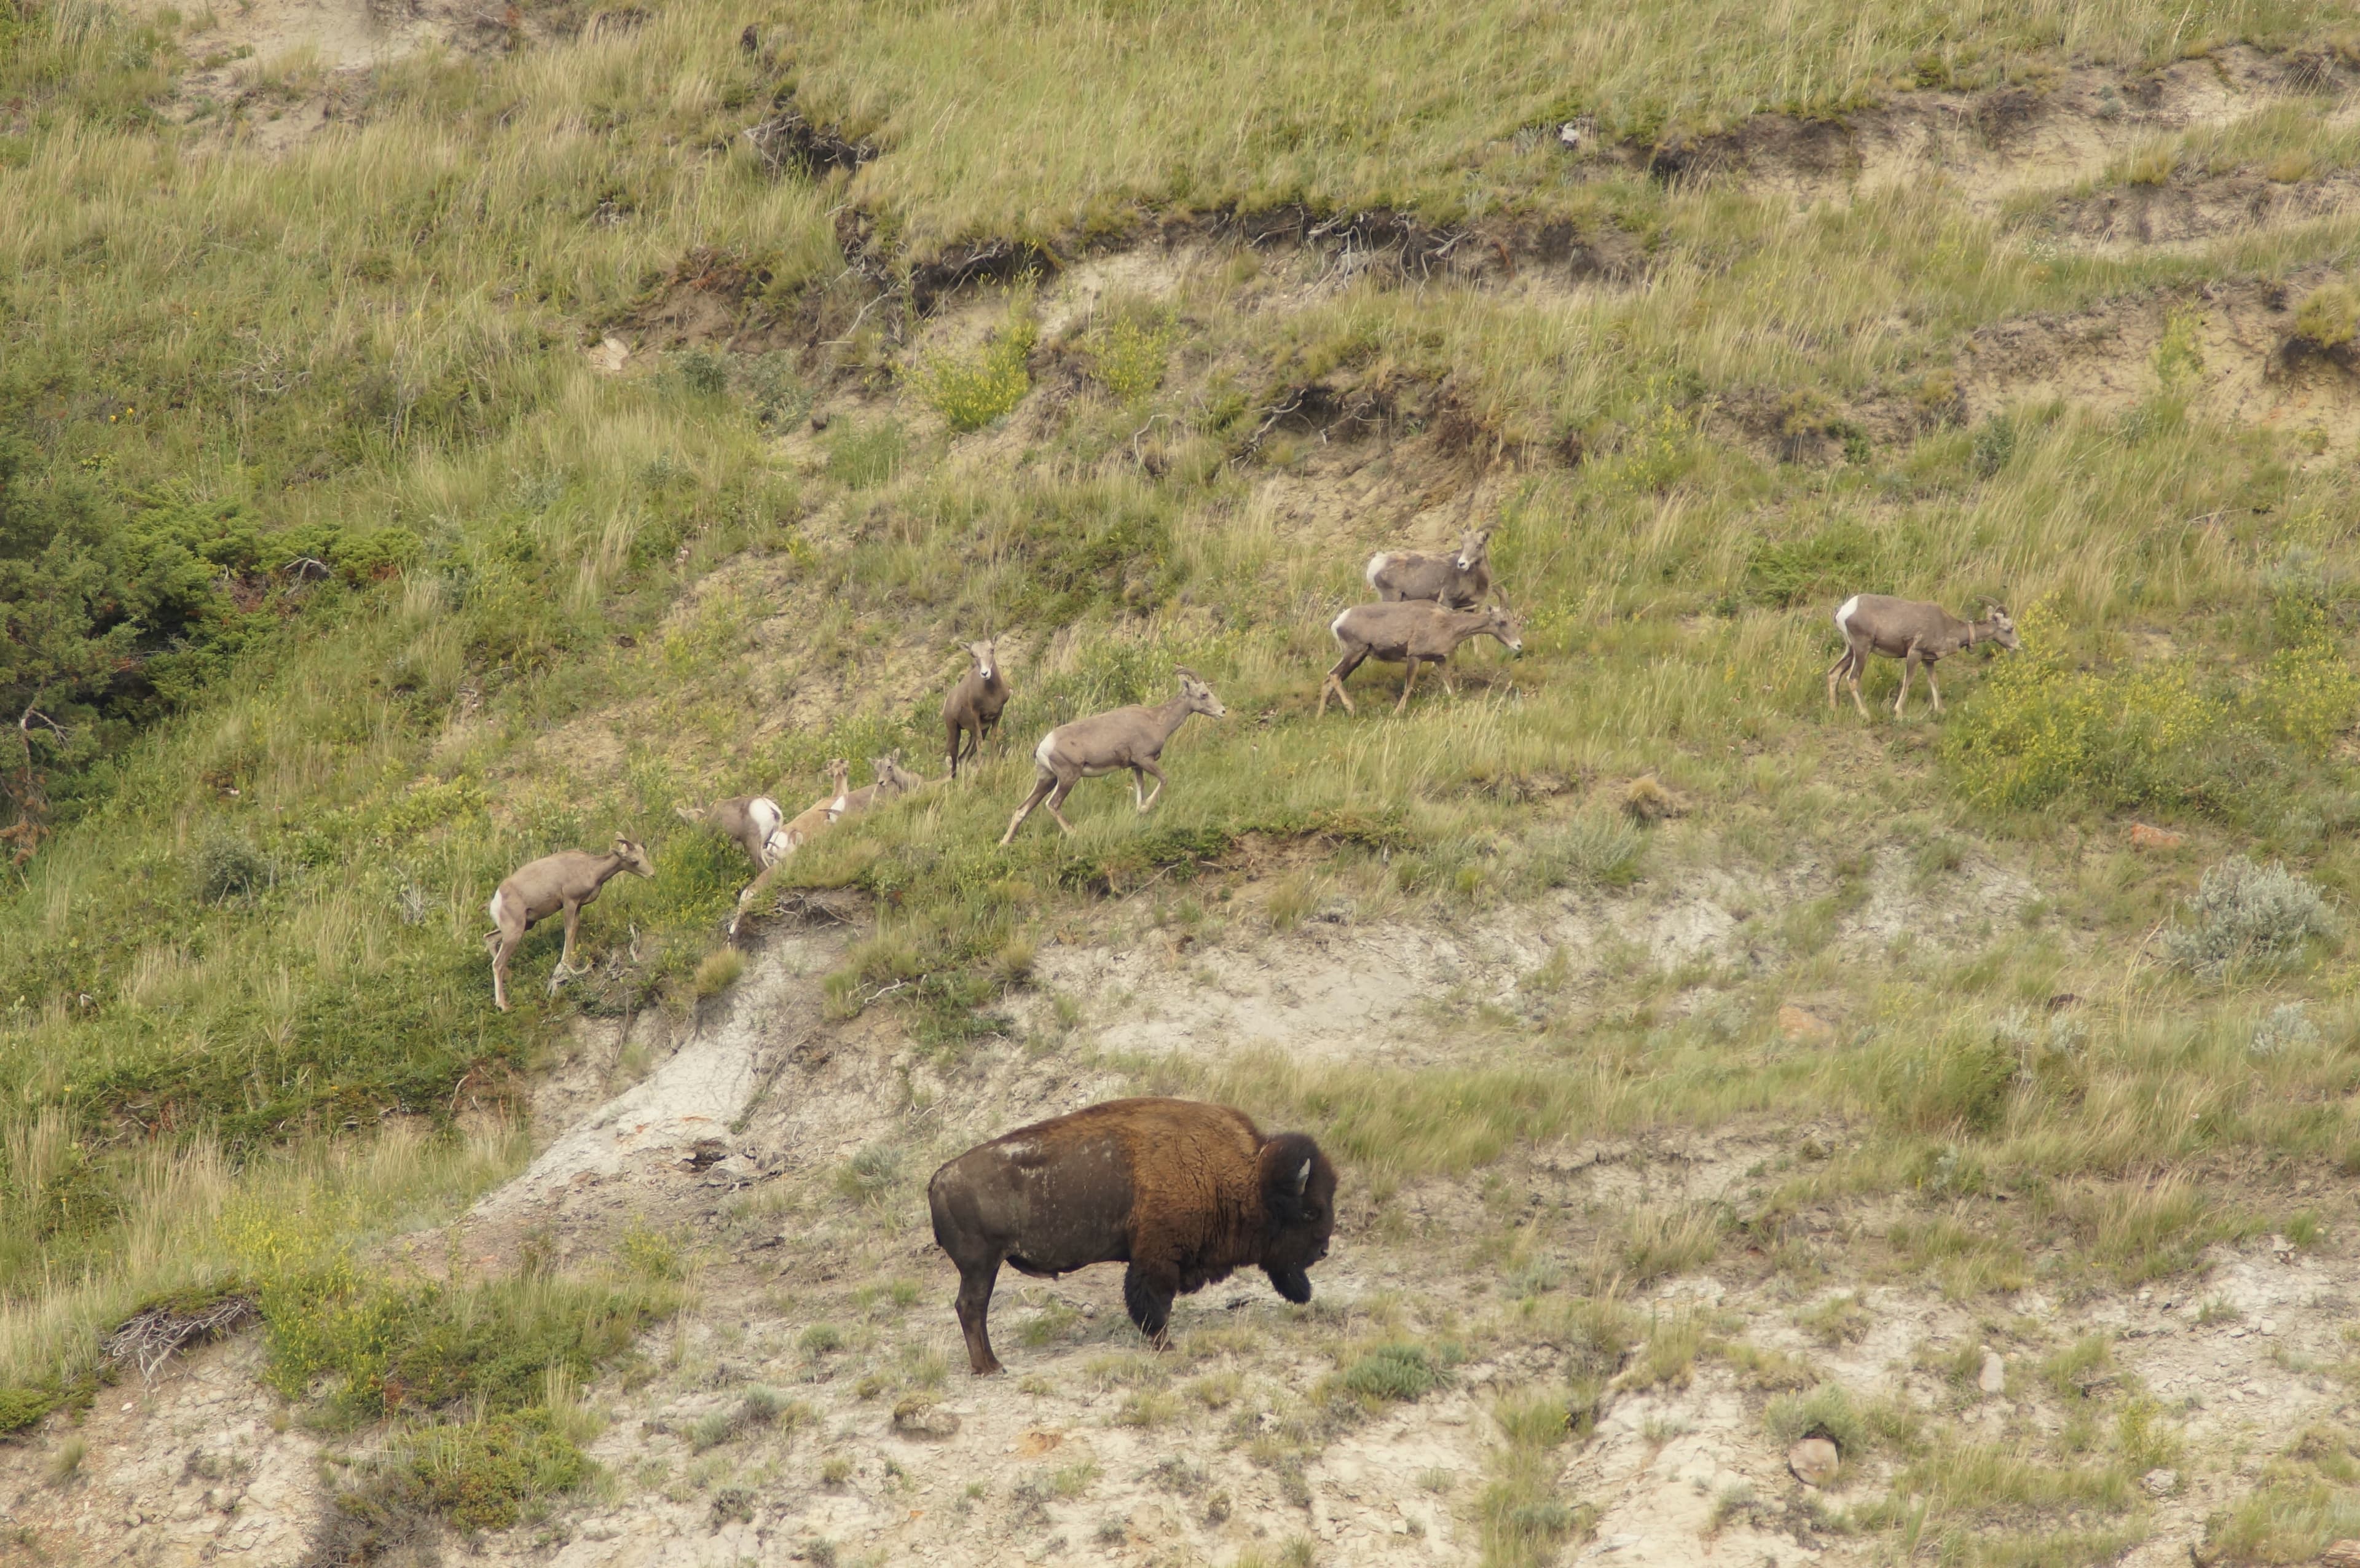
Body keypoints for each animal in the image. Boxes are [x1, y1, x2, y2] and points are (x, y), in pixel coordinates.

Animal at [927, 1097, 1338, 1375]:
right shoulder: (1156, 1259)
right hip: (981, 1266)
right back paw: (990, 1367)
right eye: (1310, 1211)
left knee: (972, 1309)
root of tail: (939, 1178)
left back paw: (990, 1364)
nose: (1323, 1251)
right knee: (971, 1308)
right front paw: (1166, 1346)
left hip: (984, 1267)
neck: (1243, 1176)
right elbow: (1154, 1306)